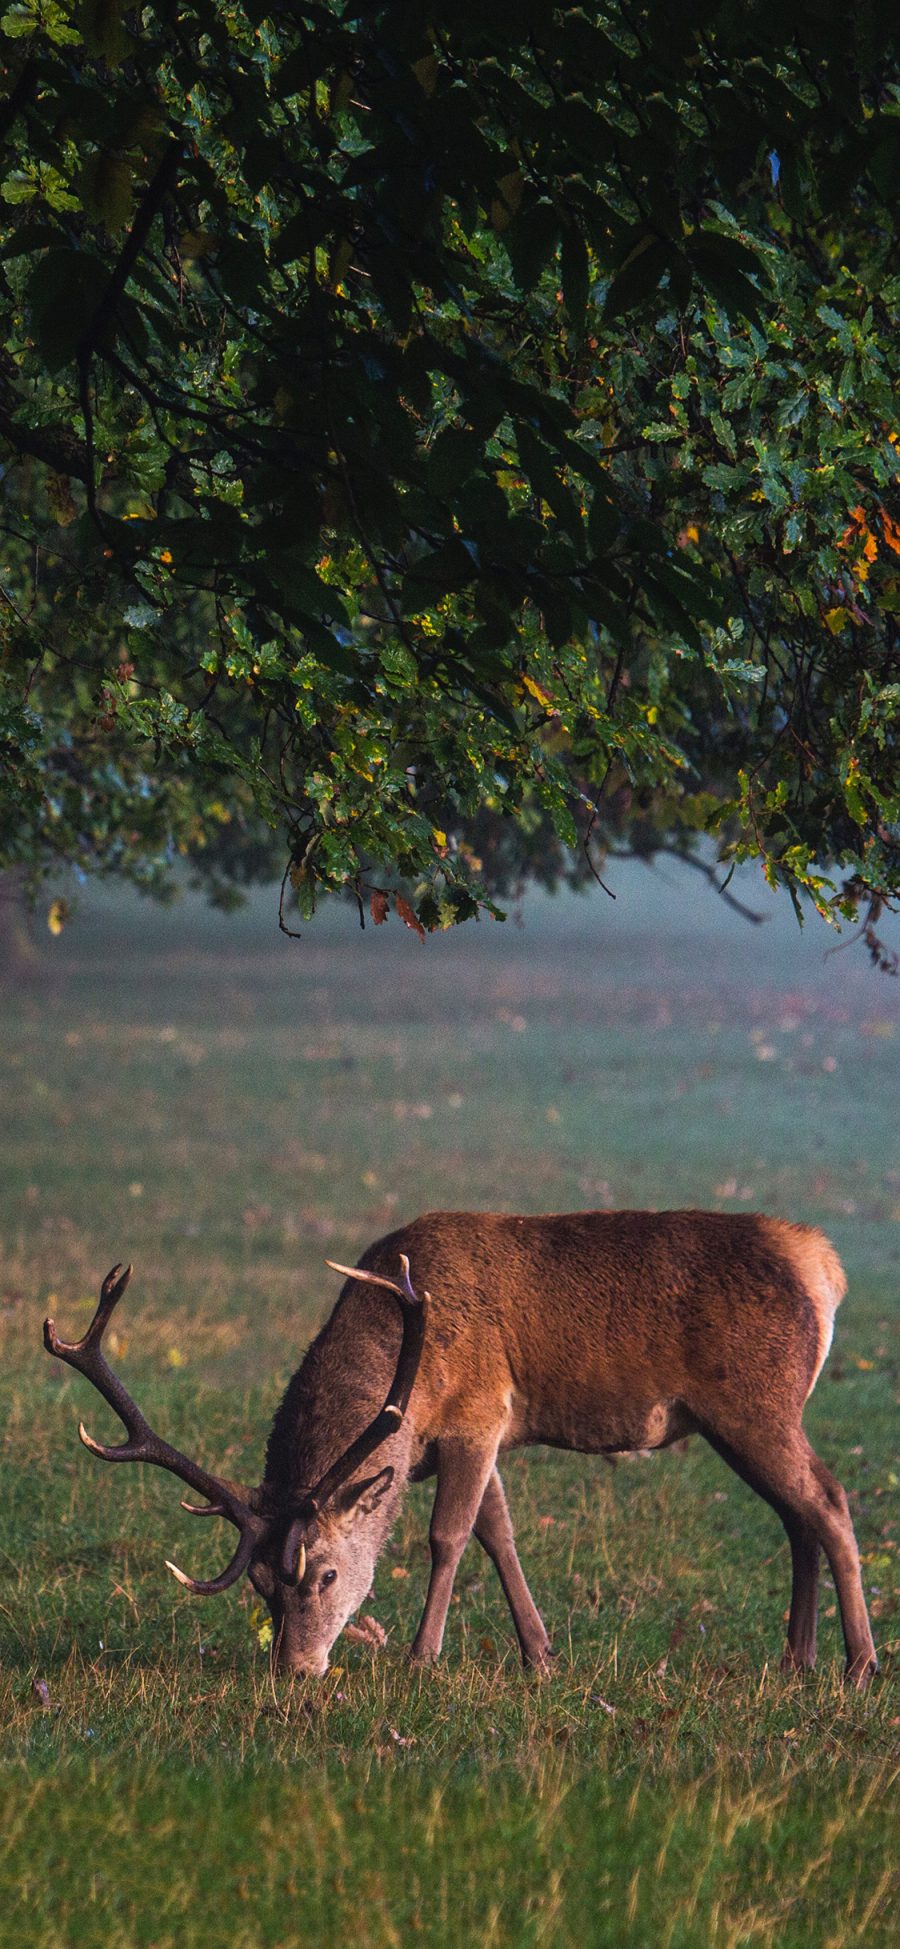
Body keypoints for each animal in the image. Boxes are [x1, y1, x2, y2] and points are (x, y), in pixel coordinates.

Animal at [43, 1208, 880, 1683]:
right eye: (260, 1585)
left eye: (325, 1574)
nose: (295, 1670)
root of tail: (824, 1265)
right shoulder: (472, 1436)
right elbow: (497, 1532)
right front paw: (540, 1656)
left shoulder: (479, 1411)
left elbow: (449, 1535)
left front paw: (422, 1656)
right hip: (741, 1419)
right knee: (796, 1516)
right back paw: (798, 1656)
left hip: (758, 1401)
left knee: (829, 1499)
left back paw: (860, 1662)